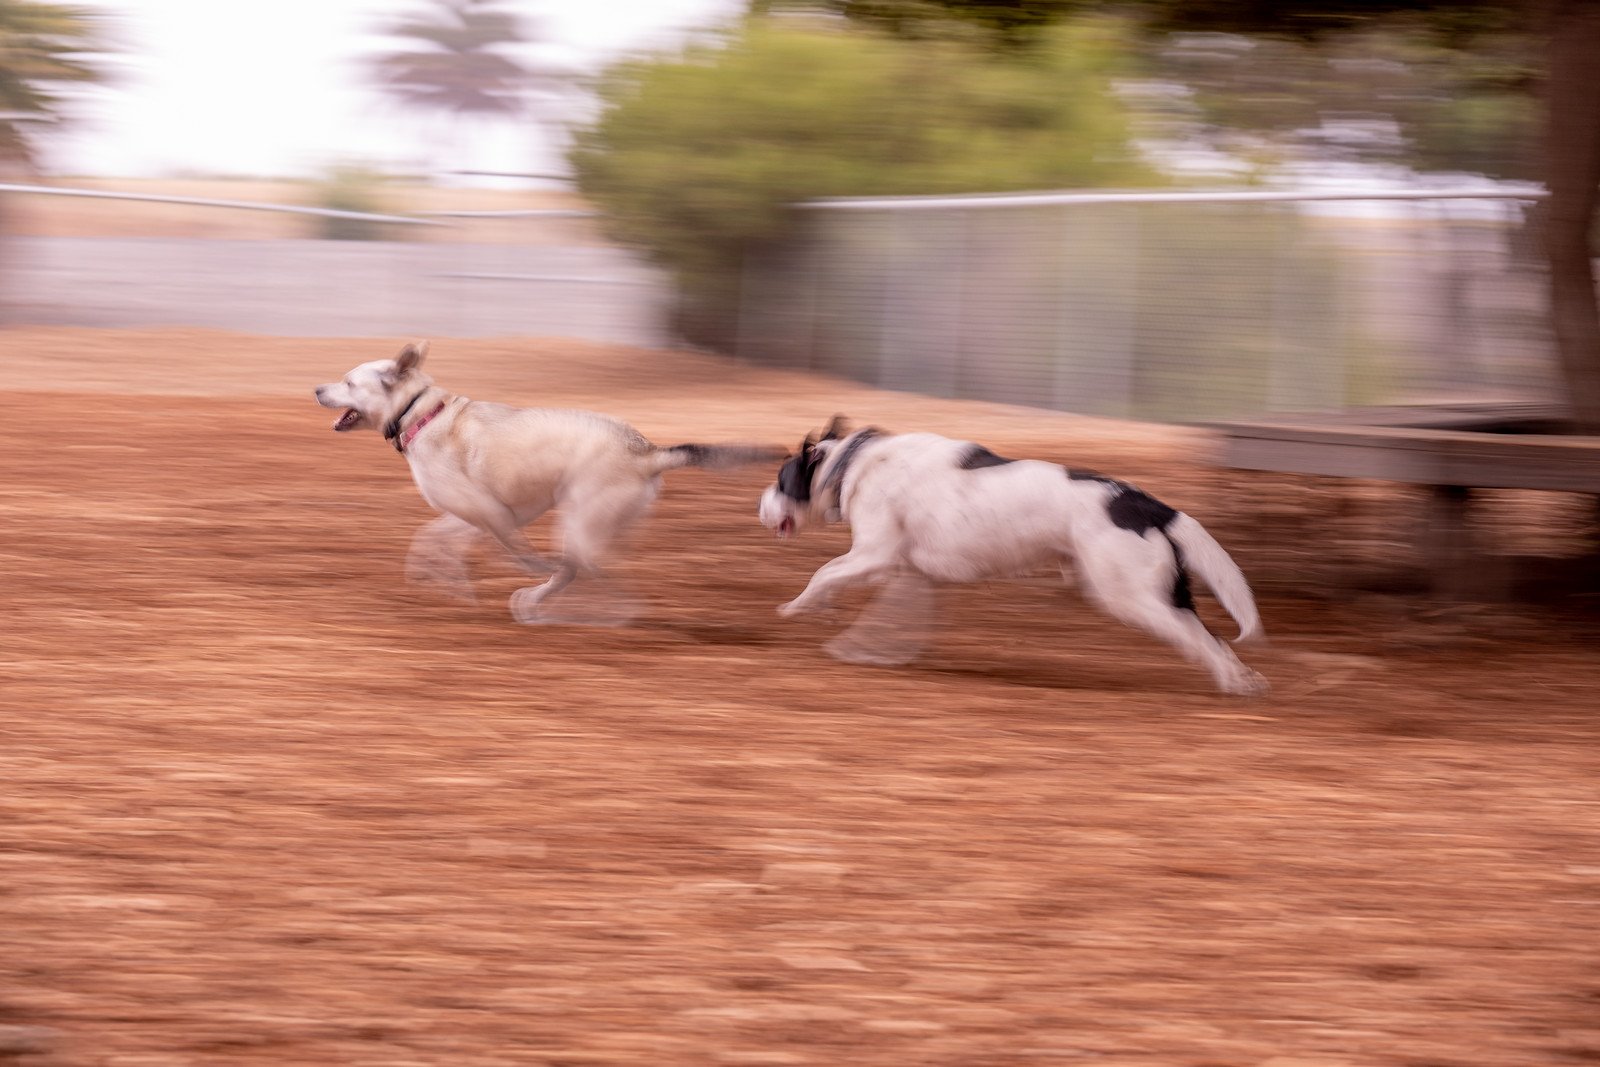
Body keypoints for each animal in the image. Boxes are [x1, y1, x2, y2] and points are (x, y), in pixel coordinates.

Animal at [312, 342, 774, 627]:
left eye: (349, 382)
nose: (316, 388)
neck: (420, 412)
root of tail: (648, 452)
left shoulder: (492, 515)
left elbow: (517, 552)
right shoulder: (472, 515)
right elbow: (429, 541)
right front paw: (444, 585)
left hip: (580, 528)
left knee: (609, 591)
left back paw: (566, 614)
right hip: (587, 529)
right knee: (580, 576)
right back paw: (534, 604)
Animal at [755, 415, 1267, 700]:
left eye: (780, 482)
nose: (760, 507)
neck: (849, 465)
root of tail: (1146, 503)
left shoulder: (873, 553)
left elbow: (823, 573)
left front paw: (797, 610)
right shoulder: (905, 569)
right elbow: (882, 608)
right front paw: (868, 648)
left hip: (1130, 595)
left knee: (1203, 640)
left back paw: (1231, 684)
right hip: (1157, 592)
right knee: (1209, 634)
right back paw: (1244, 679)